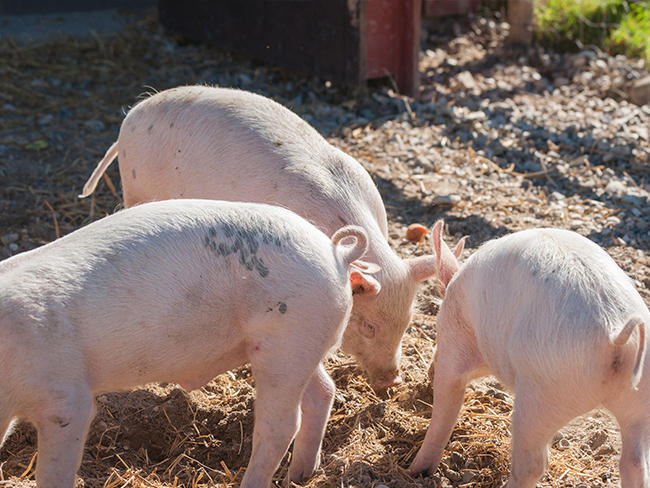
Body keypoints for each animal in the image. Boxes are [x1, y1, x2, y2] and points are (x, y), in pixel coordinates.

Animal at [0, 199, 378, 488]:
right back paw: (299, 477)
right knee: (322, 392)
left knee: (280, 426)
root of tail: (336, 253)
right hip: (301, 344)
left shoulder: (65, 400)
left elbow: (55, 467)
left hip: (288, 342)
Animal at [410, 222, 648, 488]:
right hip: (641, 397)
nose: (429, 372)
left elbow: (446, 405)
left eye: (436, 339)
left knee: (531, 465)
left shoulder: (455, 341)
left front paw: (416, 472)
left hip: (542, 393)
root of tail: (615, 333)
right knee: (634, 462)